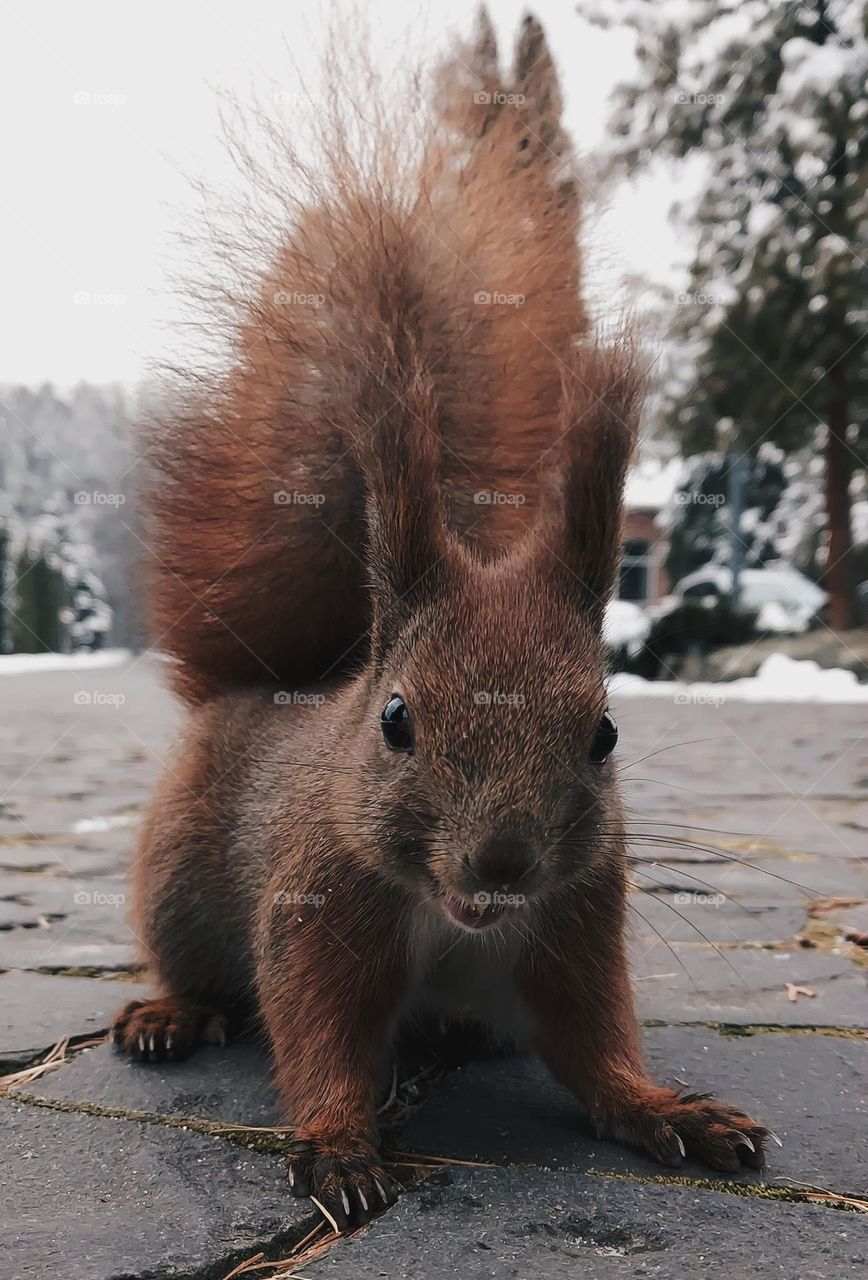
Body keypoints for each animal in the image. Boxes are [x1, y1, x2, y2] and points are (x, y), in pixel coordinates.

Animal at [113, 12, 771, 1232]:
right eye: (395, 720)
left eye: (606, 731)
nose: (503, 860)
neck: (452, 918)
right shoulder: (316, 912)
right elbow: (316, 1034)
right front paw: (336, 1143)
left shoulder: (575, 929)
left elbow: (596, 1044)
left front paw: (671, 1108)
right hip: (176, 880)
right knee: (194, 967)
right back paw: (171, 1013)